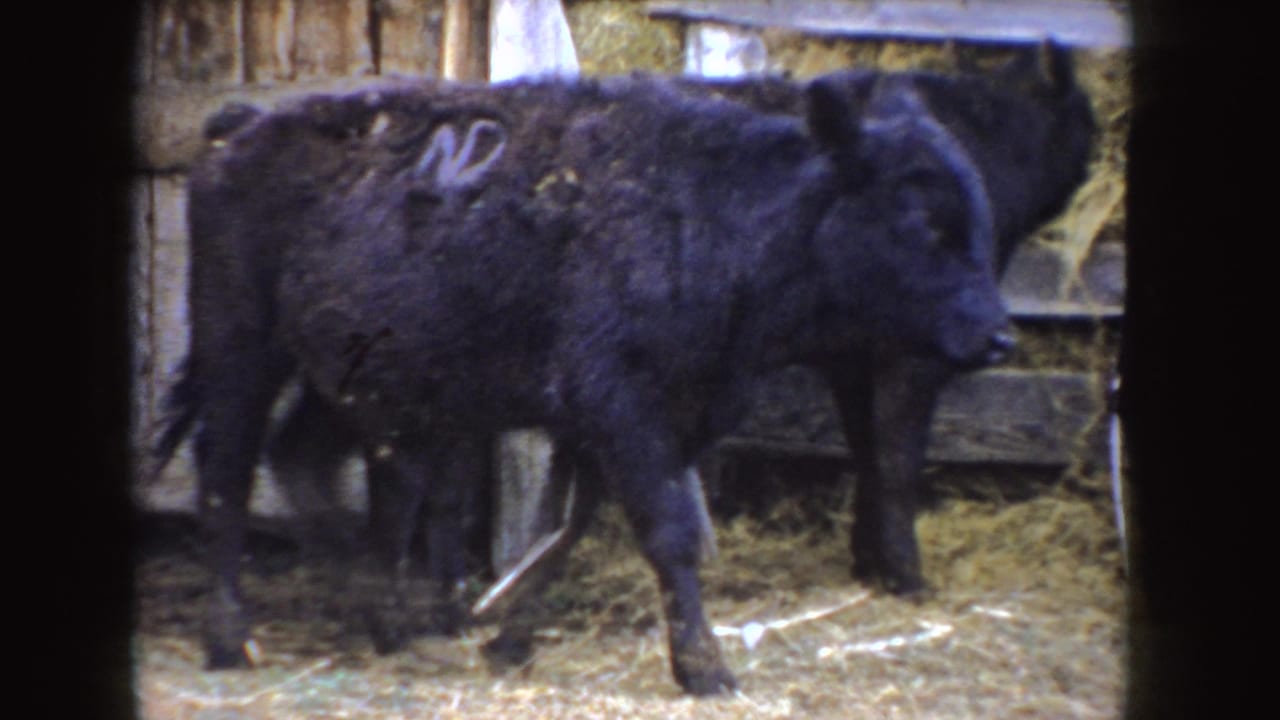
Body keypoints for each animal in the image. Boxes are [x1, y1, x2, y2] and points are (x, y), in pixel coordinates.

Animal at [162, 56, 1026, 694]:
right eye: (923, 220)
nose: (999, 336)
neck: (708, 210)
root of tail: (240, 128)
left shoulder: (650, 417)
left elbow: (572, 527)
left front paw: (507, 638)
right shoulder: (622, 408)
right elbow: (666, 532)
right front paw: (704, 668)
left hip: (353, 374)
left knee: (305, 459)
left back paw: (382, 613)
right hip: (239, 348)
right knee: (227, 472)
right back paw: (232, 639)